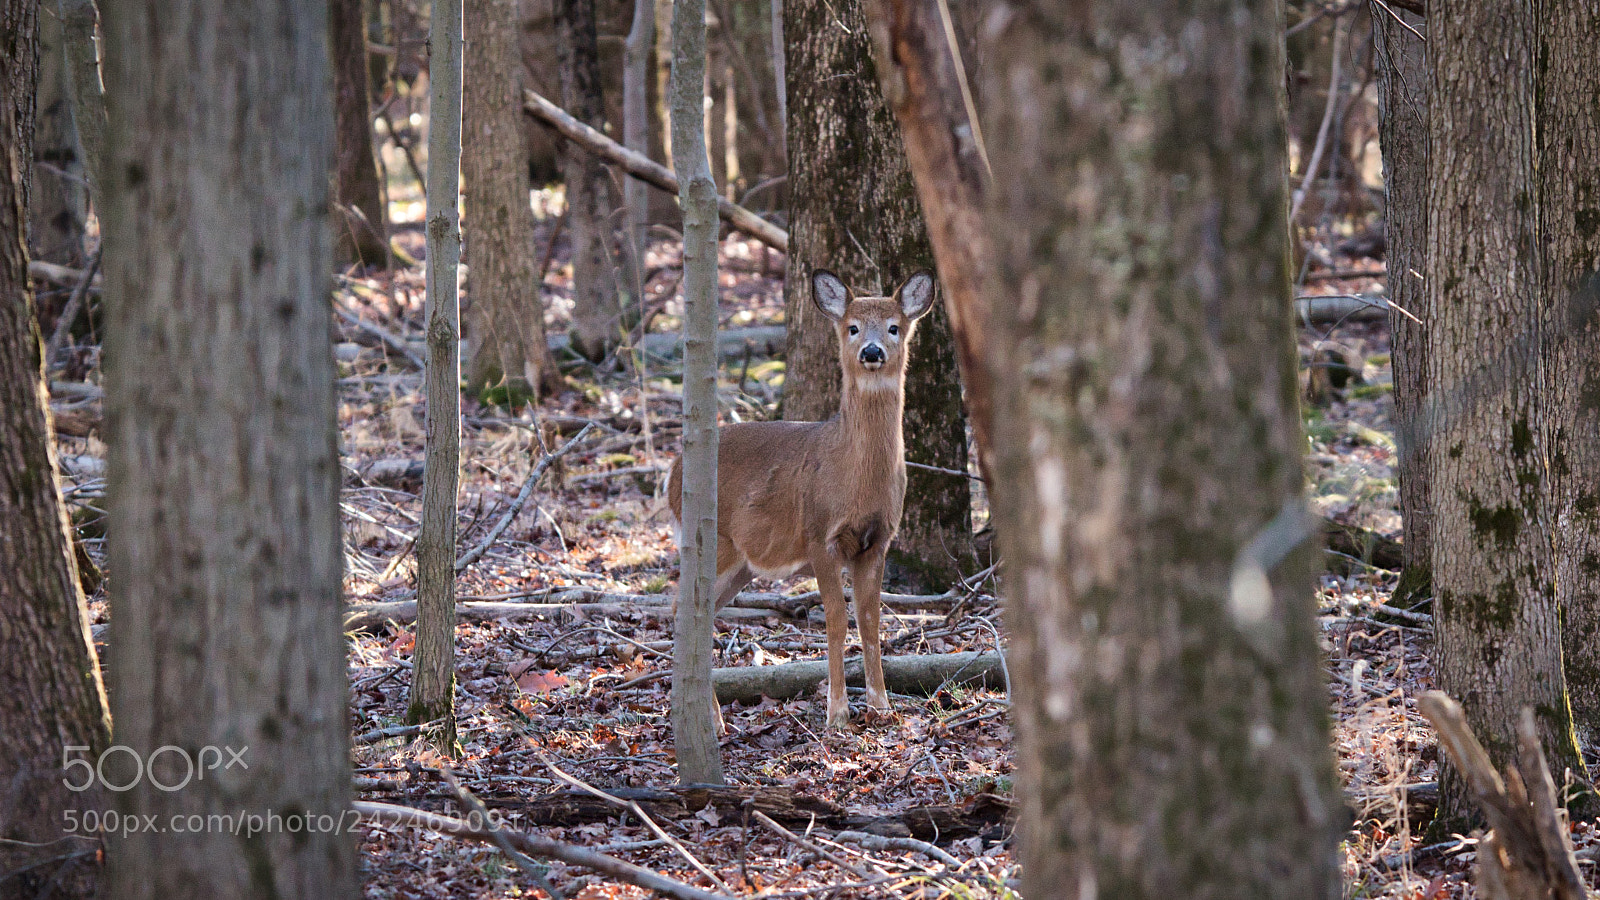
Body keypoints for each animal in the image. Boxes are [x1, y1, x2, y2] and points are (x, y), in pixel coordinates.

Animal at [667, 269, 937, 730]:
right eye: (852, 327)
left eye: (894, 327)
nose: (872, 351)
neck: (852, 474)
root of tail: (671, 473)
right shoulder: (819, 534)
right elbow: (836, 621)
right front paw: (838, 713)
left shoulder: (878, 540)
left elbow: (870, 620)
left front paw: (882, 706)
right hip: (712, 541)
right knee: (684, 611)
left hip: (742, 565)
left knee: (705, 616)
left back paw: (710, 719)